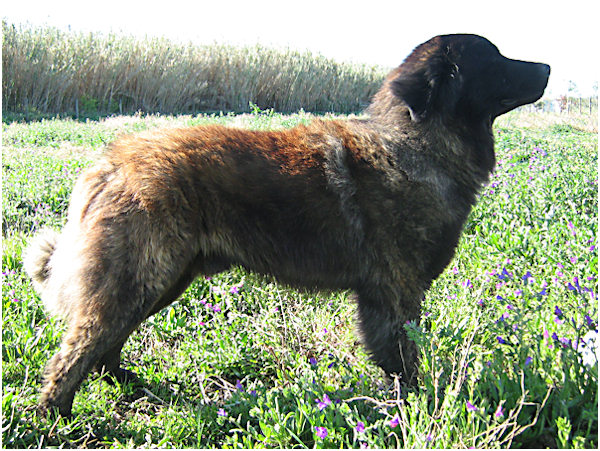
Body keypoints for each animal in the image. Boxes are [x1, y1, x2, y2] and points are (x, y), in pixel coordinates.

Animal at [25, 34, 549, 416]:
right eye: (496, 59)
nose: (546, 68)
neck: (416, 142)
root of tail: (109, 163)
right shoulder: (394, 290)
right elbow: (403, 362)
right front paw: (417, 409)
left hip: (160, 280)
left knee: (105, 345)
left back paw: (125, 384)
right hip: (139, 278)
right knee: (77, 350)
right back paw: (53, 416)